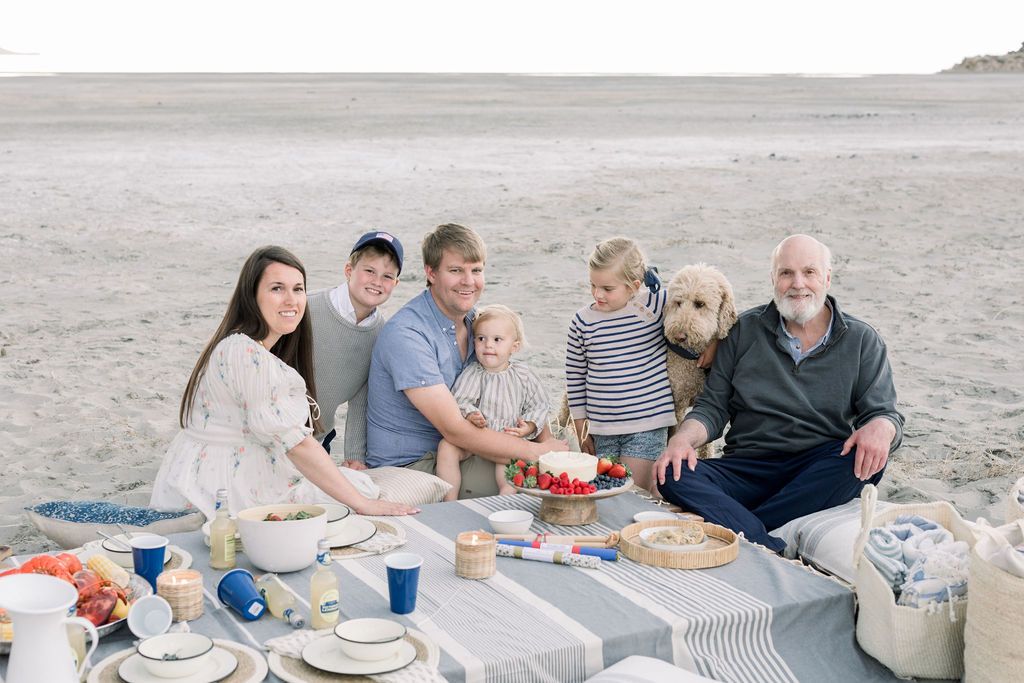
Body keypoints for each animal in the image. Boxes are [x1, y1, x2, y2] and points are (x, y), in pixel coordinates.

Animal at [663, 264, 737, 456]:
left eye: (700, 304)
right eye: (678, 302)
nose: (679, 336)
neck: (693, 358)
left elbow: (706, 445)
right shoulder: (677, 404)